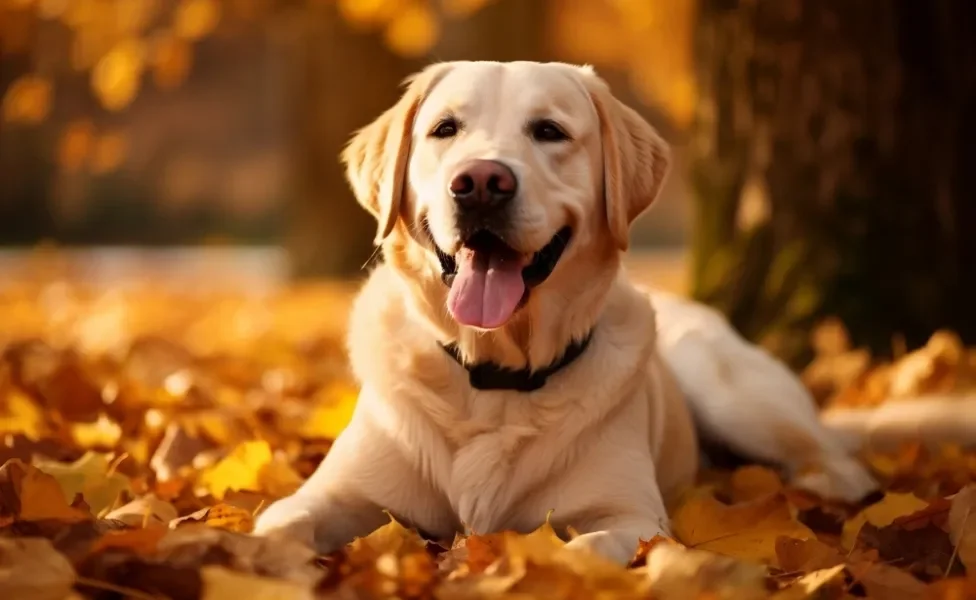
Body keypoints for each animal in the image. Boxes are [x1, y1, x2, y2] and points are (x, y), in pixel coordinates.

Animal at [254, 61, 876, 568]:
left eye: (549, 131)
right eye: (445, 129)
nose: (481, 183)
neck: (496, 374)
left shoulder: (631, 516)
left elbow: (582, 553)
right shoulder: (331, 494)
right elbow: (276, 526)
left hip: (729, 389)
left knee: (836, 460)